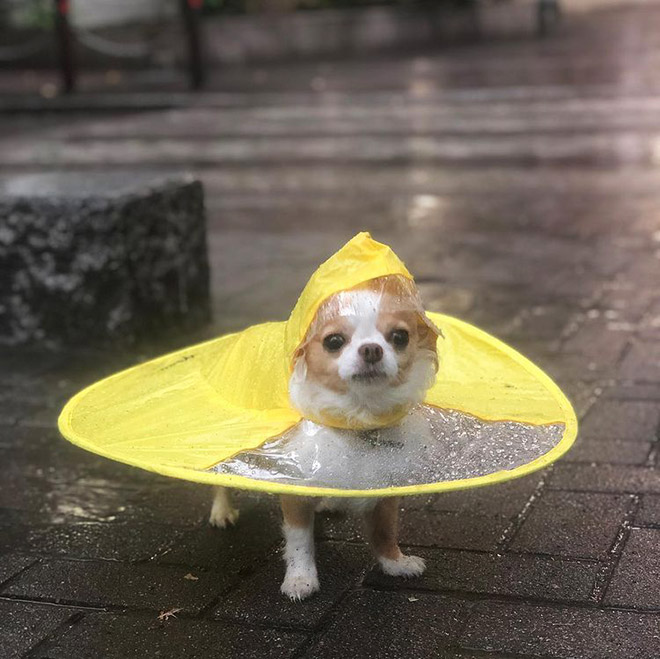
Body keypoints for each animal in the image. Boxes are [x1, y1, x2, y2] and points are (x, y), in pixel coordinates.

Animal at [209, 276, 440, 600]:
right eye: (333, 341)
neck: (357, 419)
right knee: (221, 480)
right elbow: (299, 541)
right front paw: (300, 580)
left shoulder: (385, 489)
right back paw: (222, 511)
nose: (371, 349)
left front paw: (395, 563)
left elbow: (384, 530)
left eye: (399, 337)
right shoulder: (294, 495)